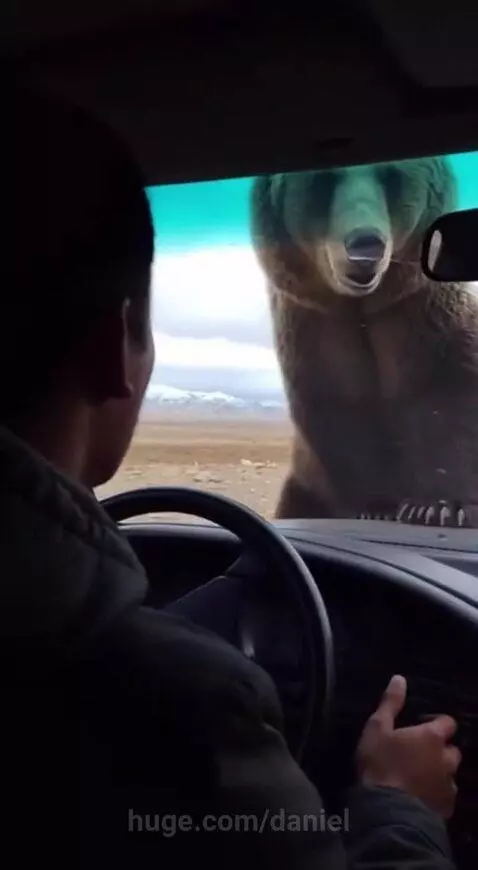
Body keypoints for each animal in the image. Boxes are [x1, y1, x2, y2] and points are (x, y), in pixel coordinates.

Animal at [250, 157, 478, 528]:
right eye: (322, 181)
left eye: (392, 176)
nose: (365, 244)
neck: (361, 309)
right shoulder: (318, 331)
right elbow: (342, 408)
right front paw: (377, 506)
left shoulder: (422, 318)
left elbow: (447, 395)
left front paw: (441, 506)